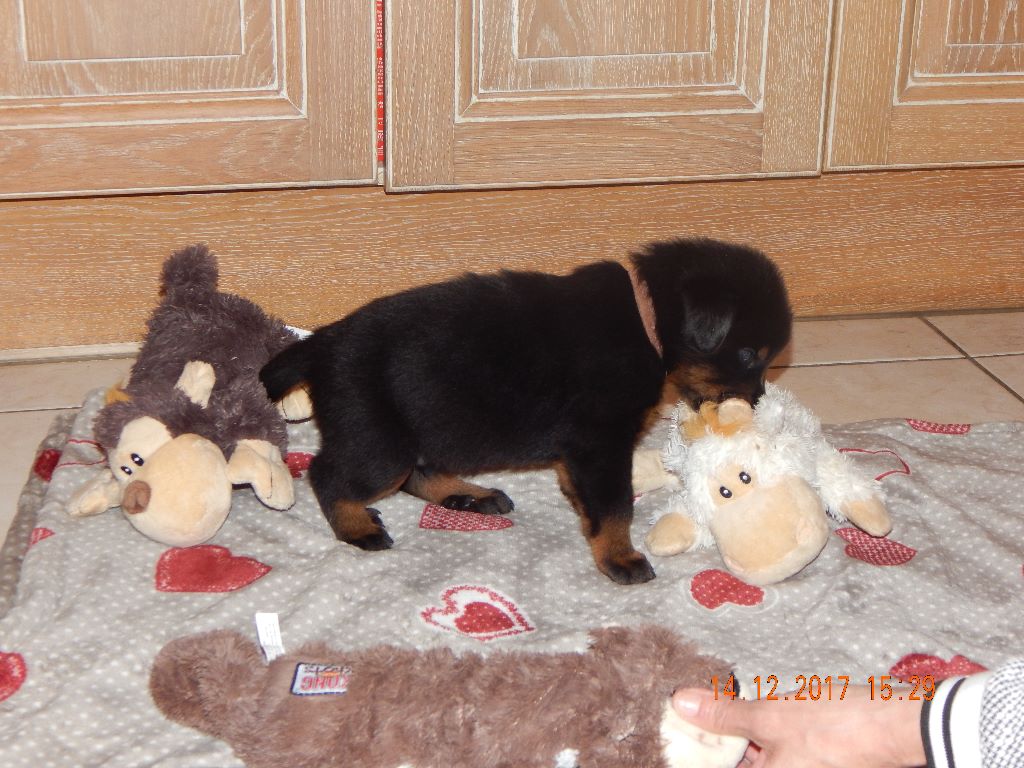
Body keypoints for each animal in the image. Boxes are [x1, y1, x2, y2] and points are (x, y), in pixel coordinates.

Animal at [260, 238, 792, 584]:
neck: (646, 325)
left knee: (418, 472)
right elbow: (615, 504)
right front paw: (619, 556)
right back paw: (358, 527)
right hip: (378, 438)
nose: (757, 403)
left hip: (428, 428)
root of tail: (322, 343)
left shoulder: (582, 450)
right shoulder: (600, 441)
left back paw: (470, 495)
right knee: (329, 475)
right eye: (750, 354)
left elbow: (587, 494)